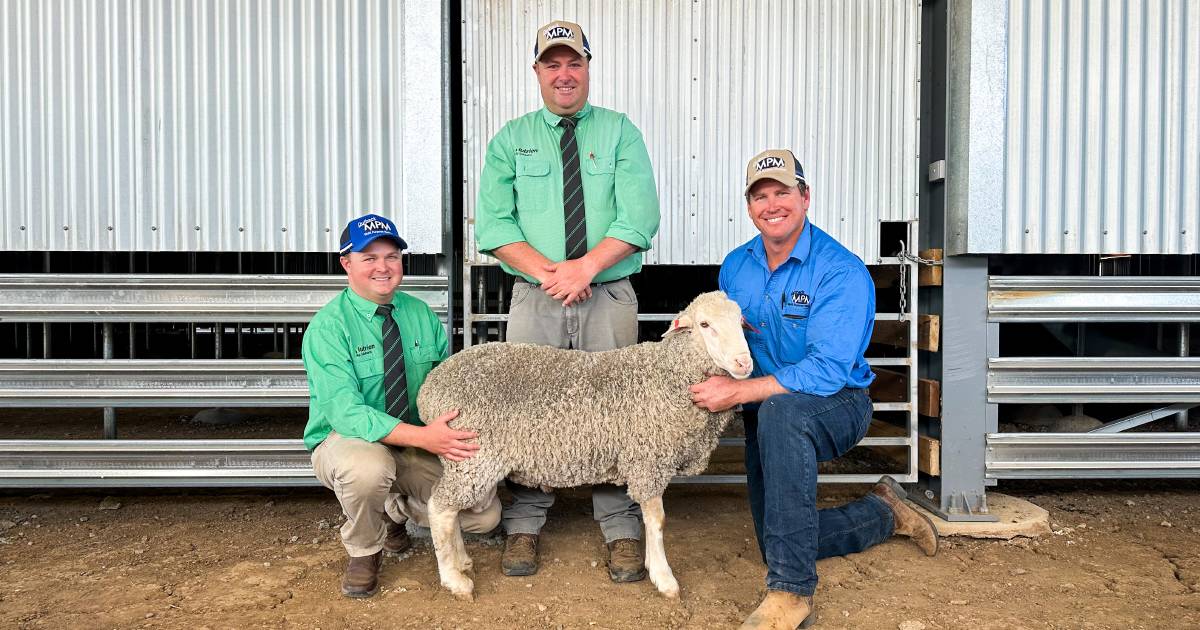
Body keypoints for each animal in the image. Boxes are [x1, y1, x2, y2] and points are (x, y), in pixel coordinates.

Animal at [415, 290, 748, 600]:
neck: (669, 376)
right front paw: (664, 579)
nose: (744, 363)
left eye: (741, 321)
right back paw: (455, 580)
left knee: (449, 509)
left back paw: (462, 561)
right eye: (705, 324)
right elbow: (657, 521)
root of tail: (429, 388)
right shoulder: (648, 461)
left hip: (463, 460)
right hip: (473, 457)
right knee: (440, 508)